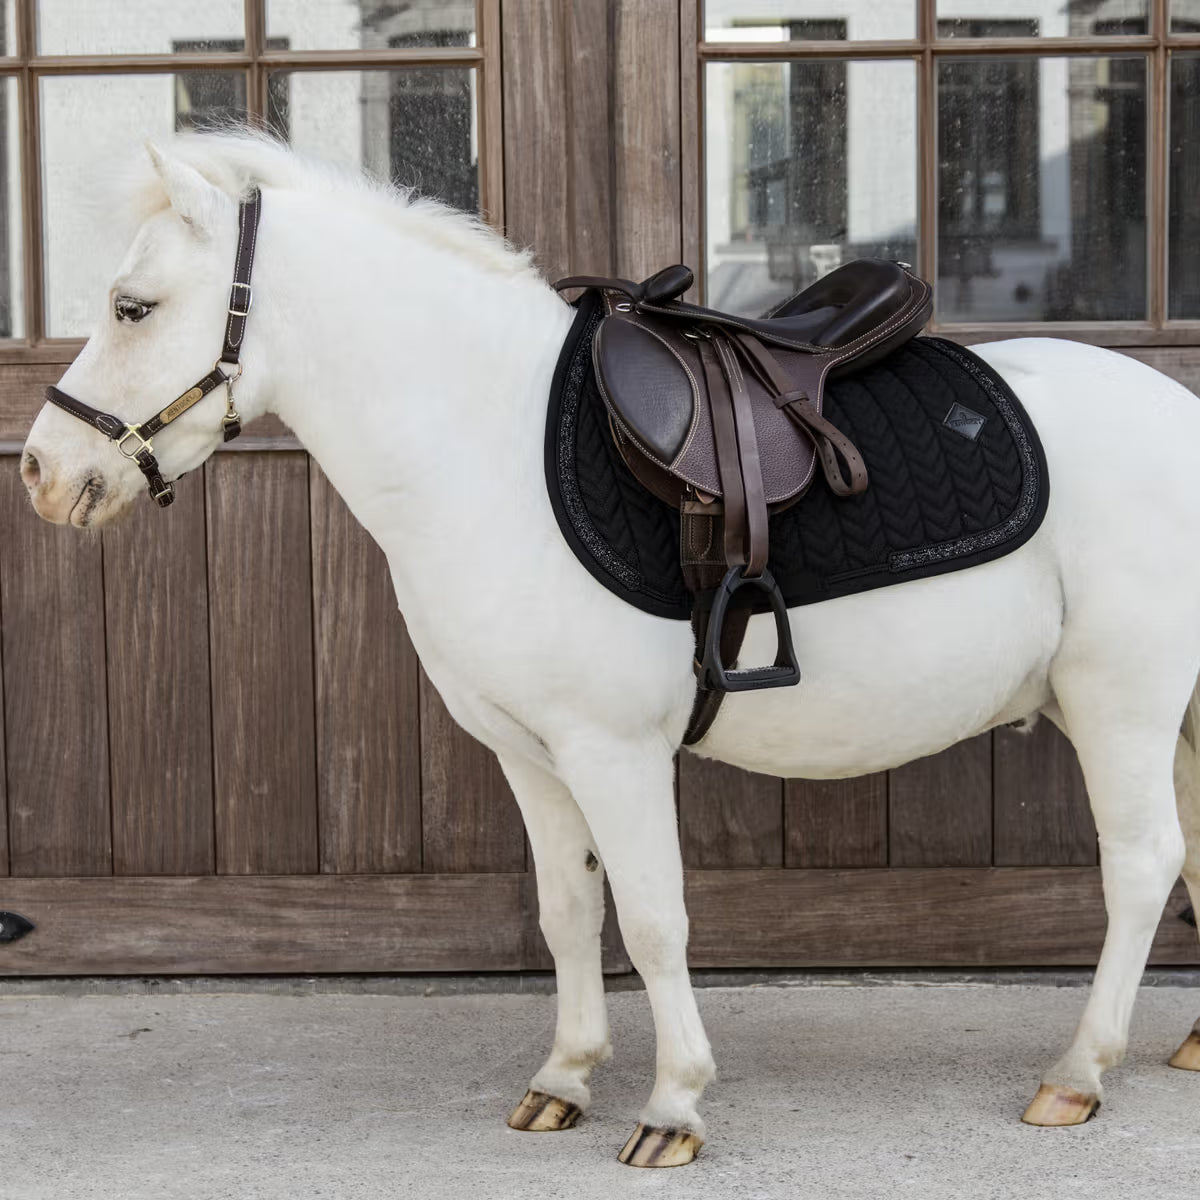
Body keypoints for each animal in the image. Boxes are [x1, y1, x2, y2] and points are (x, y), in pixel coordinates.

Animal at [19, 132, 1200, 1168]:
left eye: (133, 307)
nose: (39, 470)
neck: (481, 443)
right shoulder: (530, 754)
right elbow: (568, 910)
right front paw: (565, 1079)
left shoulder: (614, 752)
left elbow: (654, 919)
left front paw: (673, 1107)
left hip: (1122, 703)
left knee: (1144, 864)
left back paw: (1077, 1074)